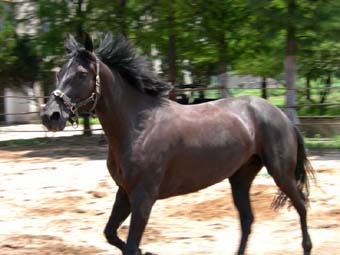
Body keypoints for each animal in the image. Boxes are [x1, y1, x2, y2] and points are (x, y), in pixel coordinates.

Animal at [41, 32, 314, 255]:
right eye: (59, 73)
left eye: (81, 74)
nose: (50, 116)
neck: (138, 126)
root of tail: (282, 116)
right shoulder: (125, 191)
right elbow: (110, 233)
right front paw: (148, 252)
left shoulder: (143, 196)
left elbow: (129, 246)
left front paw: (145, 250)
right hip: (240, 176)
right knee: (247, 219)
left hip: (280, 172)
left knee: (301, 204)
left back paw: (307, 247)